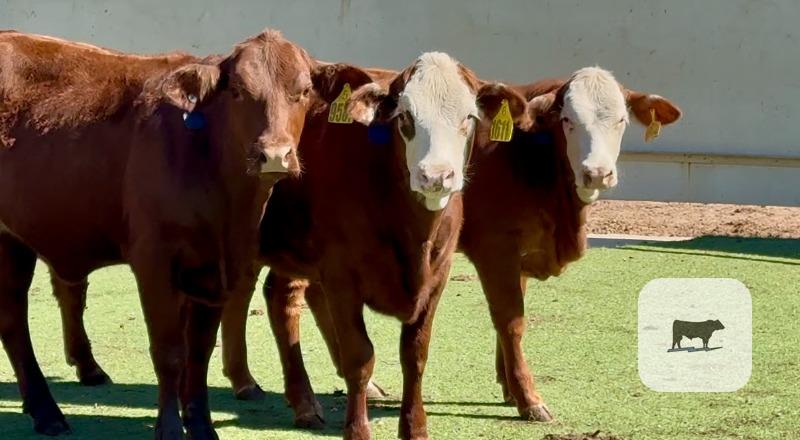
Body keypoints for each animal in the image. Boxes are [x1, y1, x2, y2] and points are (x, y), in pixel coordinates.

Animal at [0, 30, 361, 438]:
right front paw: (171, 427)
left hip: (15, 242)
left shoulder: (218, 267)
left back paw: (45, 407)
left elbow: (199, 351)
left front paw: (202, 425)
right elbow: (169, 351)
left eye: (302, 91)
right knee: (15, 320)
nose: (274, 155)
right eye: (238, 90)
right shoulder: (154, 260)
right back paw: (49, 411)